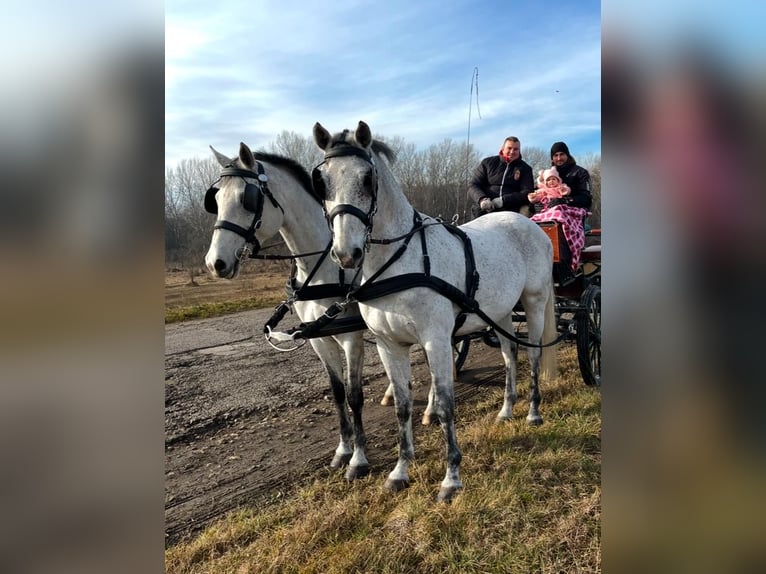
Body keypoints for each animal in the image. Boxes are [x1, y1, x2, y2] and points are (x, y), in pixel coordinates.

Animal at [204, 143, 372, 482]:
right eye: (215, 200)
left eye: (247, 198)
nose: (215, 263)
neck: (324, 268)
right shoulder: (320, 338)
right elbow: (337, 392)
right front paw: (343, 450)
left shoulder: (351, 338)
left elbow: (354, 395)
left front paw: (359, 459)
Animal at [312, 122, 560, 504]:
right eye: (321, 180)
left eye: (368, 178)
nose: (346, 253)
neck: (398, 261)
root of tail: (530, 224)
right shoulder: (388, 344)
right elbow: (401, 406)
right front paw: (400, 471)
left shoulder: (436, 341)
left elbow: (445, 404)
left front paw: (451, 478)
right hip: (501, 313)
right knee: (510, 356)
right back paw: (506, 410)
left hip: (533, 302)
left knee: (532, 356)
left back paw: (533, 412)